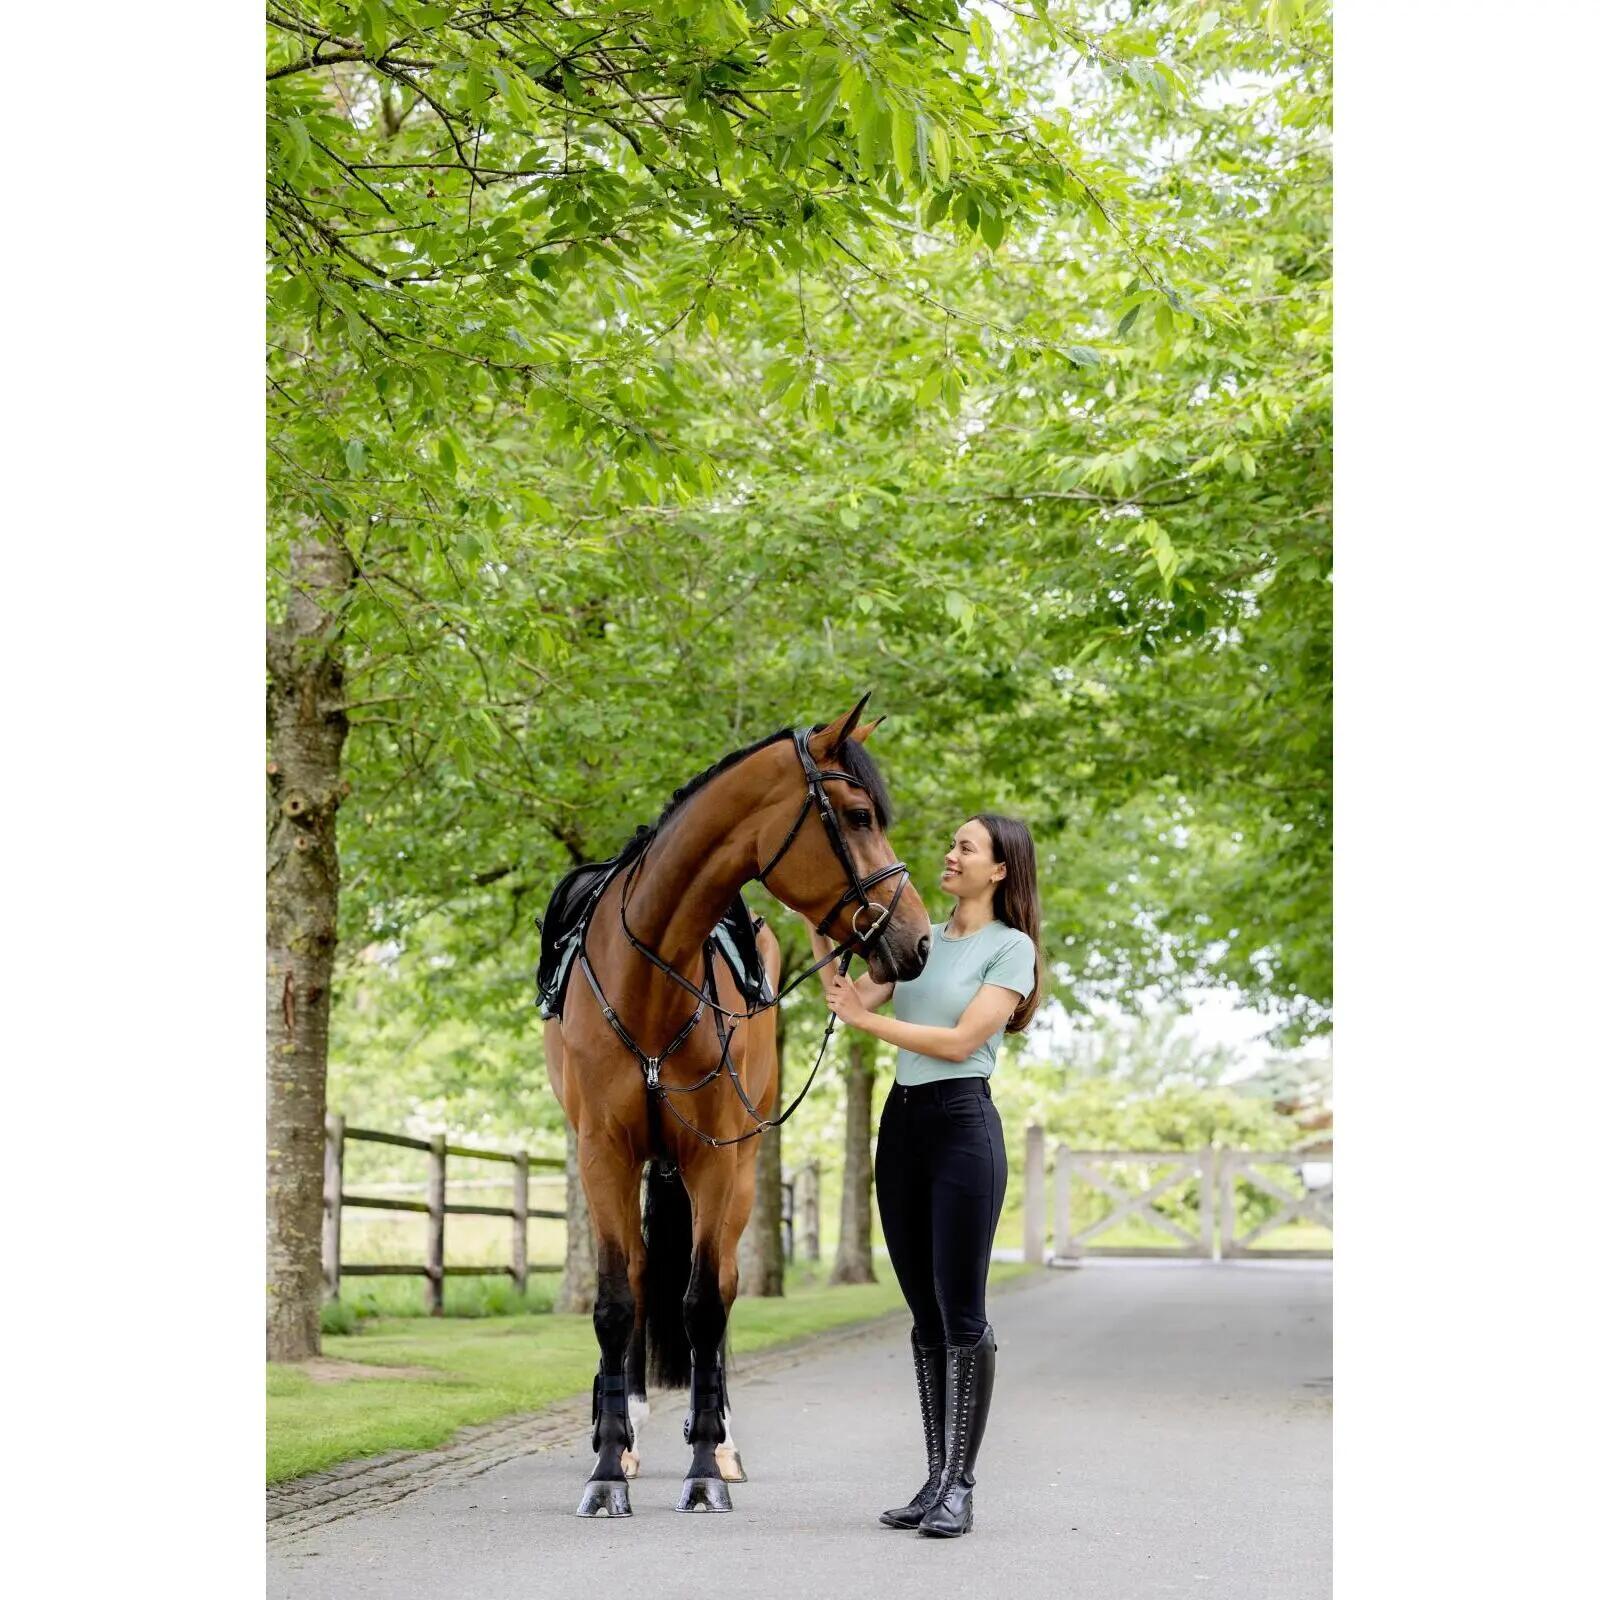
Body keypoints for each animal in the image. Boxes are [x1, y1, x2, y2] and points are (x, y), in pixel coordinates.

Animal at [540, 695, 932, 1517]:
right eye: (857, 815)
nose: (917, 941)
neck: (651, 979)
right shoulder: (604, 1156)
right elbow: (617, 1303)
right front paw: (606, 1467)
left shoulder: (715, 1160)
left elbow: (701, 1307)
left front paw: (702, 1470)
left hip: (743, 1170)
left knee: (716, 1291)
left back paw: (718, 1440)